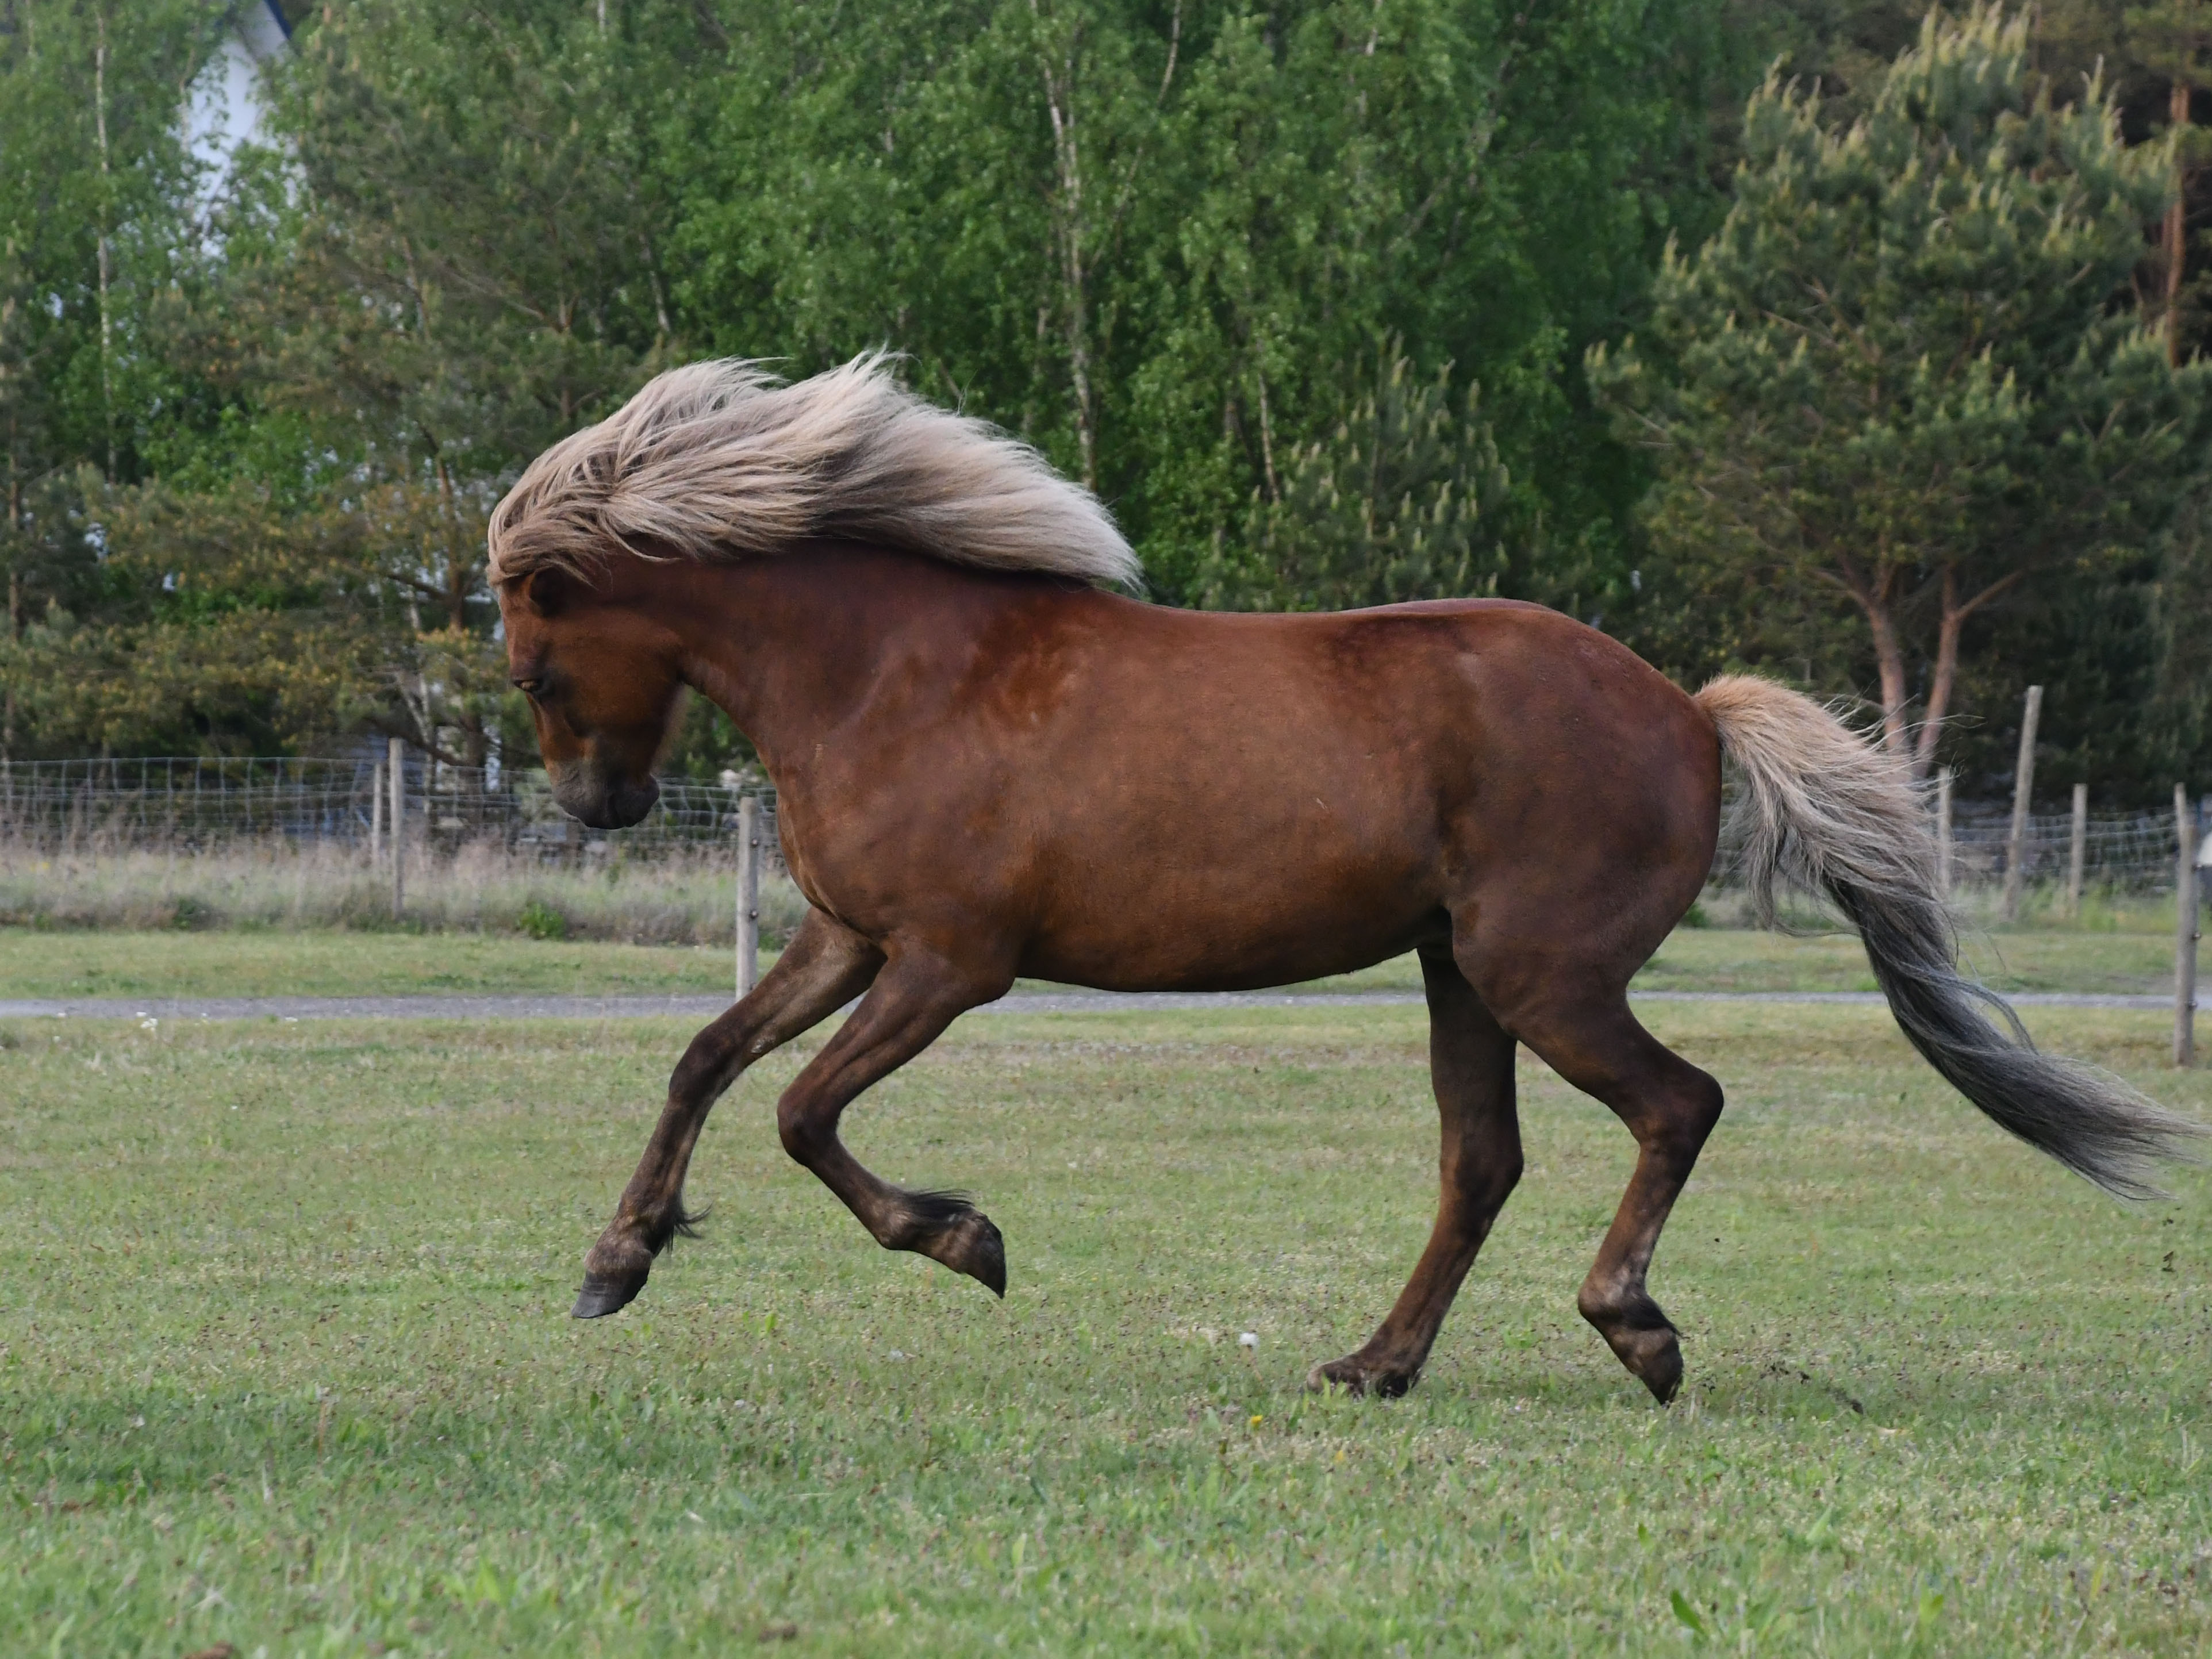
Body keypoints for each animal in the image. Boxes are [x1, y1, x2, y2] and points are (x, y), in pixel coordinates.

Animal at [484, 358, 2194, 1407]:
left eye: (536, 662)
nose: (593, 805)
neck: (894, 672)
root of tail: (1693, 712)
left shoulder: (949, 962)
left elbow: (797, 1110)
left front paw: (968, 1239)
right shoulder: (850, 939)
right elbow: (706, 1058)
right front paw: (613, 1263)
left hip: (1536, 974)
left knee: (1674, 1104)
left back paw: (1631, 1327)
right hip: (1456, 973)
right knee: (1481, 1161)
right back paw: (1376, 1361)